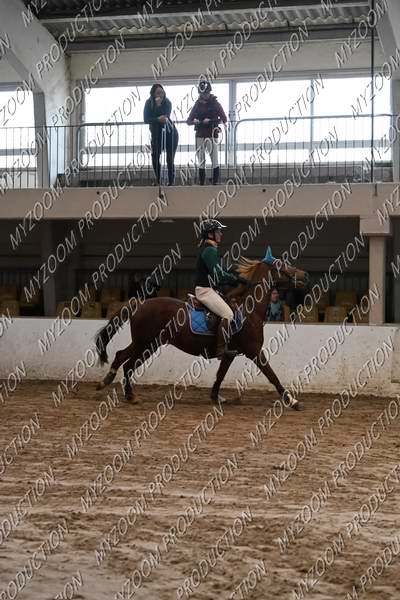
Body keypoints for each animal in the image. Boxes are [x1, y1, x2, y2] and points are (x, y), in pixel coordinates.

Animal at [94, 248, 309, 409]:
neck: (250, 310)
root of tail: (140, 304)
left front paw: (215, 397)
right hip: (146, 344)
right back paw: (129, 395)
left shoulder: (231, 353)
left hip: (147, 343)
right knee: (128, 364)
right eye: (281, 265)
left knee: (122, 357)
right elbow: (272, 375)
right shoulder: (254, 351)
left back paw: (109, 383)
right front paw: (292, 401)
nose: (305, 275)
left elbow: (221, 375)